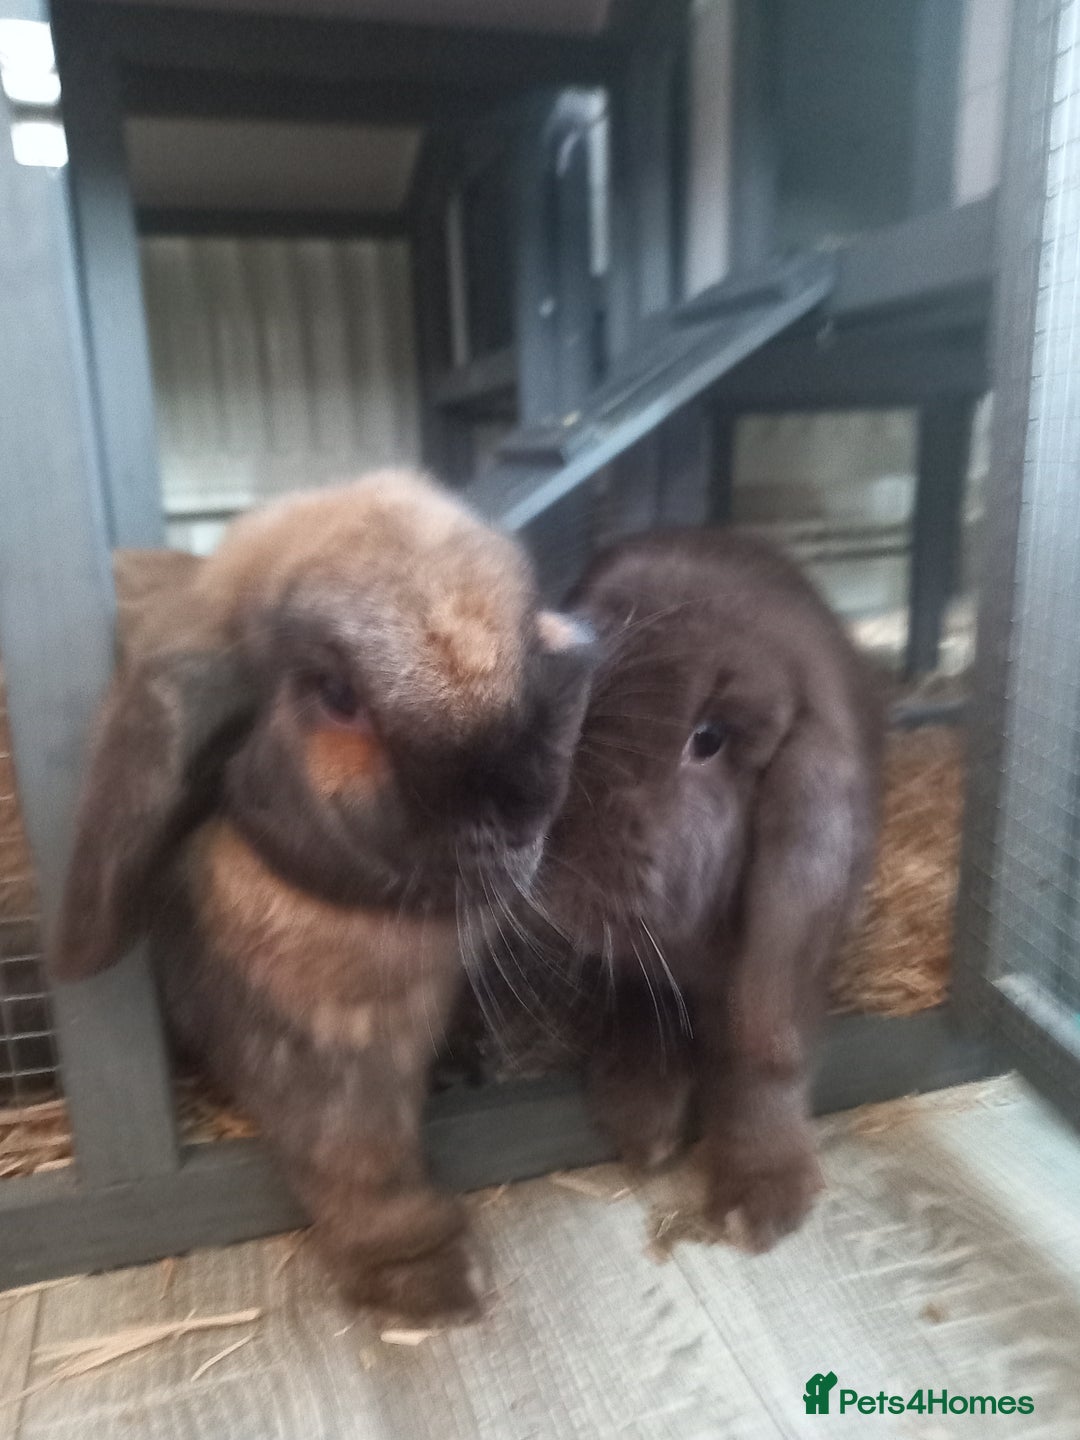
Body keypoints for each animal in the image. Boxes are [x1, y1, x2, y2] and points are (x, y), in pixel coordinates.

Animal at [522, 527, 882, 1251]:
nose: (550, 844)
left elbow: (764, 1060)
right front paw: (641, 1118)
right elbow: (637, 1004)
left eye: (708, 739)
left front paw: (764, 1197)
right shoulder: (627, 962)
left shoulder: (787, 972)